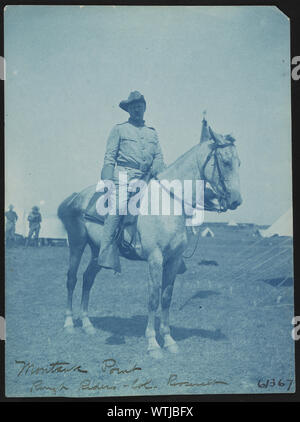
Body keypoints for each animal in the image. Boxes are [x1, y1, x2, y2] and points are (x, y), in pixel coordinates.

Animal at [58, 123, 241, 358]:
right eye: (226, 162)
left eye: (239, 162)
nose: (236, 200)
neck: (169, 203)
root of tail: (75, 196)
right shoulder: (155, 258)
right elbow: (153, 297)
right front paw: (153, 343)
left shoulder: (173, 260)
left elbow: (166, 297)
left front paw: (169, 340)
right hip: (77, 244)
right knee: (71, 278)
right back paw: (69, 323)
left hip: (99, 251)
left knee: (88, 278)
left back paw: (88, 324)